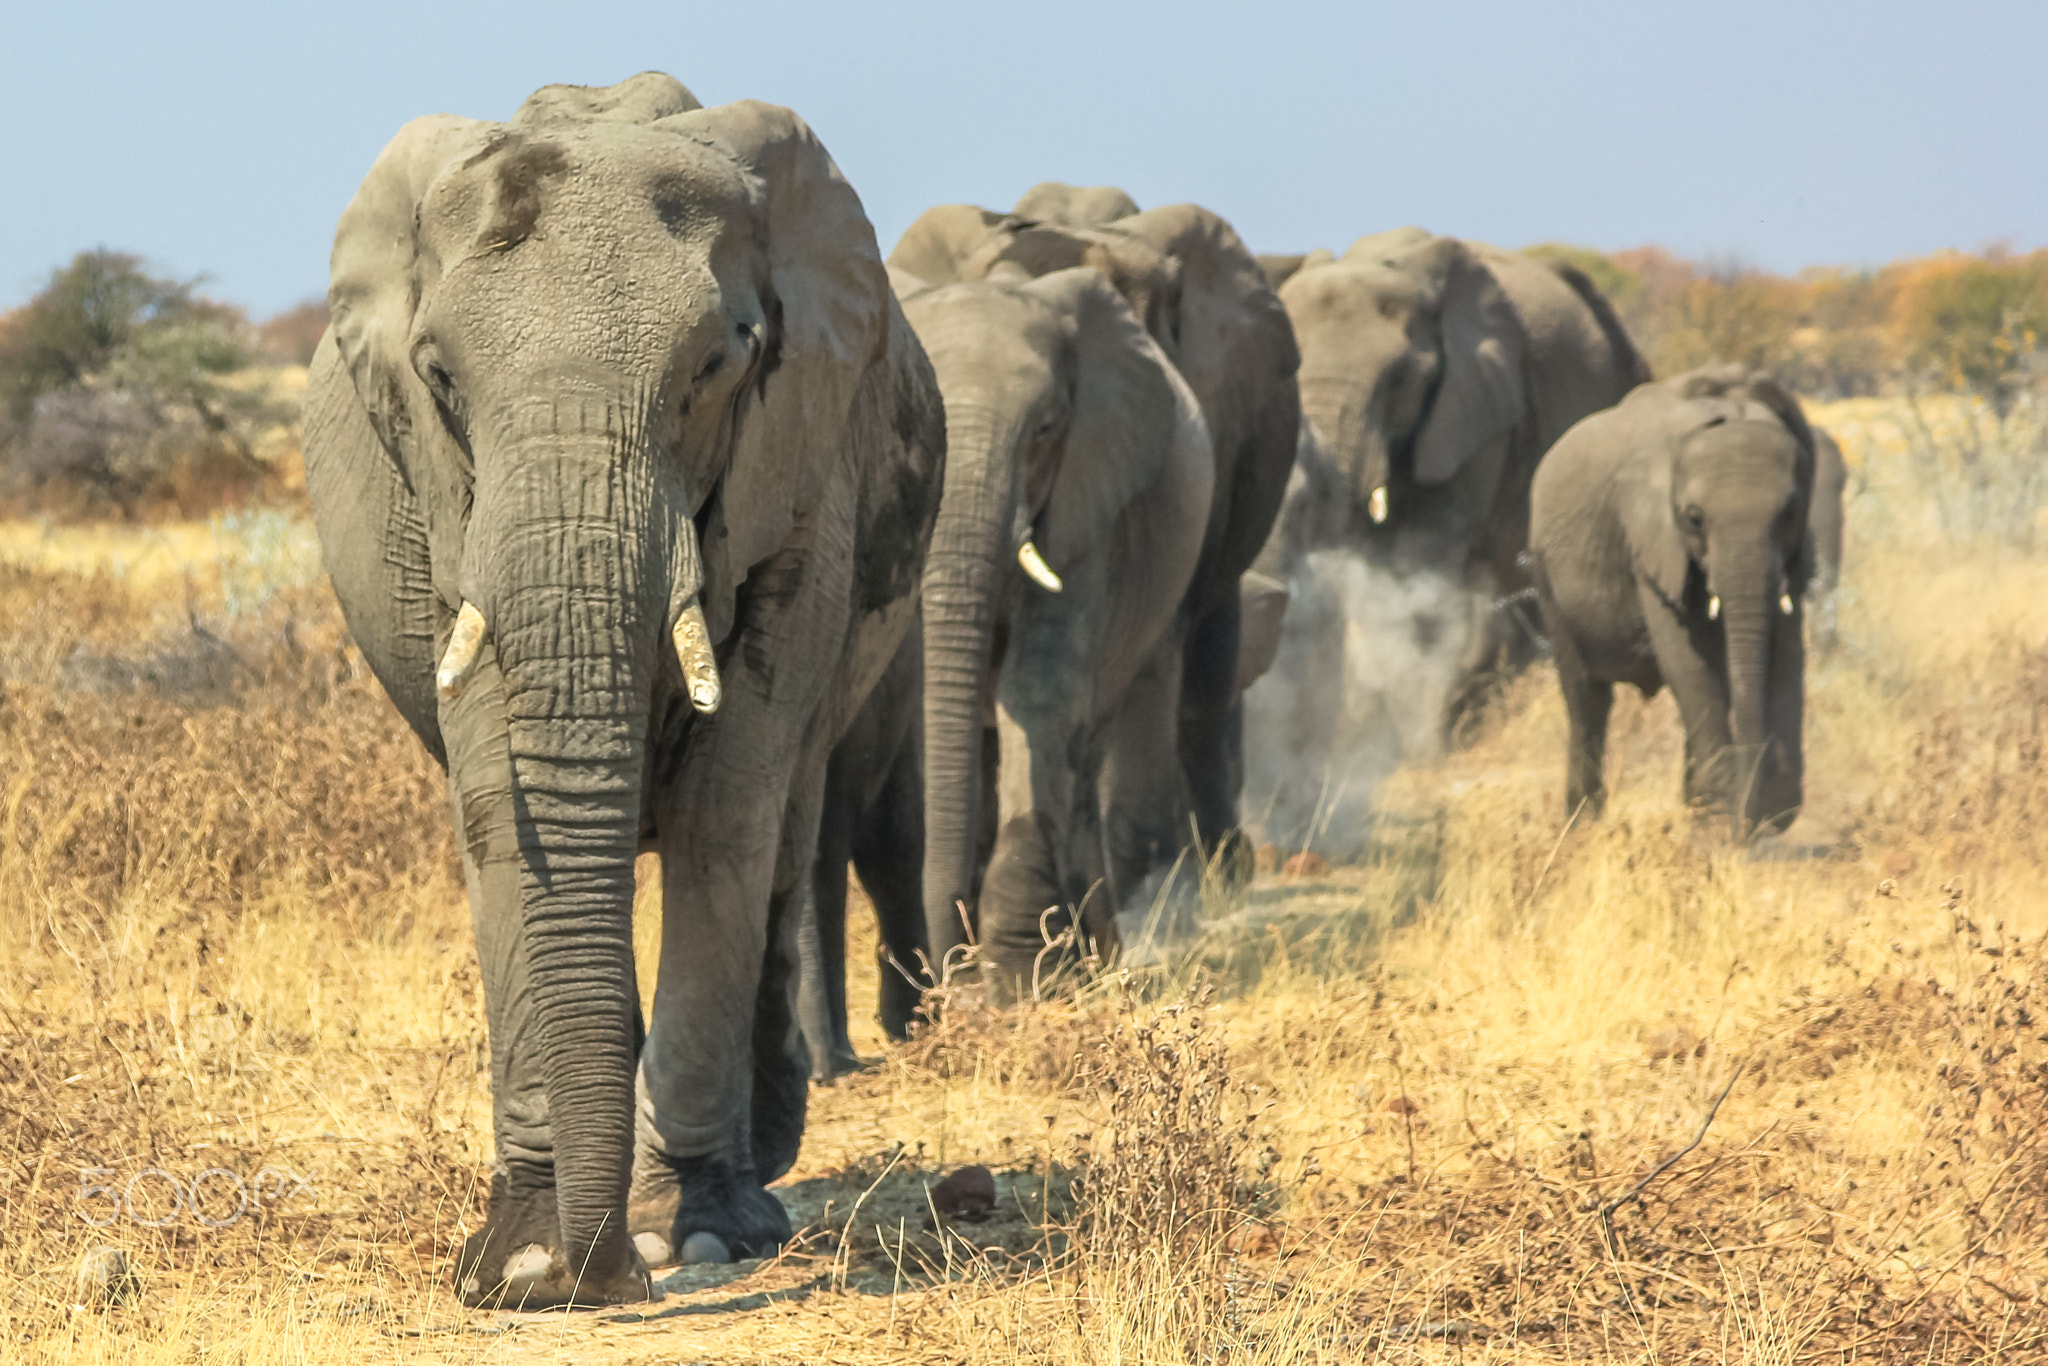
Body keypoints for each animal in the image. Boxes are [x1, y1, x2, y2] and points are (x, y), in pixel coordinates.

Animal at [302, 74, 944, 1307]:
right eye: (440, 377)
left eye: (715, 369)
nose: (598, 1283)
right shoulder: (443, 514)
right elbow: (499, 809)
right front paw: (522, 1261)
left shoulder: (804, 479)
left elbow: (726, 809)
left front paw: (691, 1241)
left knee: (778, 836)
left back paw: (741, 1189)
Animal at [1527, 365, 1814, 838]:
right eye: (1693, 519)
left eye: (1790, 514)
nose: (1748, 825)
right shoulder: (1649, 541)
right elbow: (1689, 662)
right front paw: (1721, 819)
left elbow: (1789, 651)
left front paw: (1764, 809)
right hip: (1545, 573)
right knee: (1586, 697)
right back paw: (1581, 827)